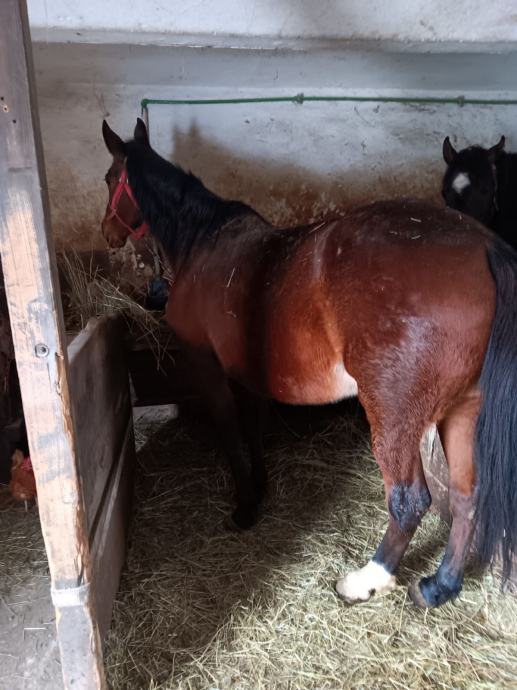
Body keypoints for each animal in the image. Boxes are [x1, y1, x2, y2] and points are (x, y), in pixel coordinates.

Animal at [100, 118, 517, 609]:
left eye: (109, 178)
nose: (108, 233)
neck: (203, 241)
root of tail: (484, 247)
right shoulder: (250, 374)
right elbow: (254, 428)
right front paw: (260, 487)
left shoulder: (206, 364)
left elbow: (230, 429)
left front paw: (245, 506)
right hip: (463, 410)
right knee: (467, 496)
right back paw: (441, 585)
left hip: (395, 417)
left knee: (409, 500)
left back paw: (367, 579)